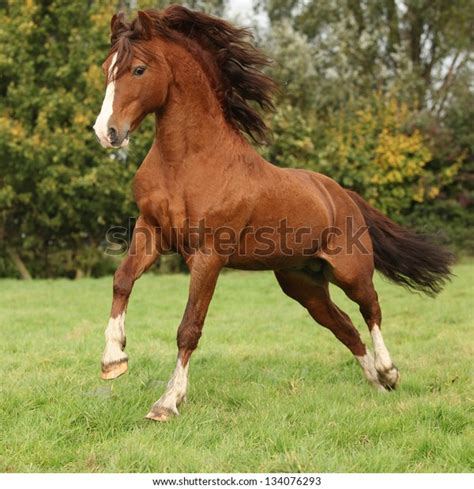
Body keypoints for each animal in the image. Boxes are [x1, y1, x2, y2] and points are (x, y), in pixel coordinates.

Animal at [91, 5, 452, 422]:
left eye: (138, 69)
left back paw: (389, 372)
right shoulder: (151, 232)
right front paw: (113, 361)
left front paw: (167, 402)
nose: (106, 132)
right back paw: (377, 384)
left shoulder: (209, 256)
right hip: (303, 283)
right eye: (106, 67)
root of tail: (341, 194)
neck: (185, 162)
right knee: (344, 325)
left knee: (370, 308)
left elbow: (189, 326)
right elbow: (122, 280)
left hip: (351, 271)